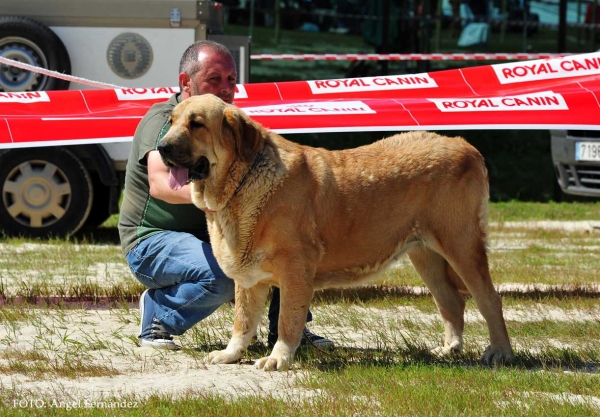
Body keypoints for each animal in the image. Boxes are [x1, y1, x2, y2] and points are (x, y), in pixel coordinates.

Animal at [157, 93, 512, 370]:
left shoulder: (295, 270)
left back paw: (499, 353)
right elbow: (243, 321)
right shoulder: (250, 278)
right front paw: (230, 354)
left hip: (461, 246)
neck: (243, 180)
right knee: (451, 300)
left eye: (197, 123)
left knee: (489, 299)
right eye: (172, 121)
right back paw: (449, 349)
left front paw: (278, 358)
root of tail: (467, 146)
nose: (162, 147)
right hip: (425, 255)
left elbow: (287, 320)